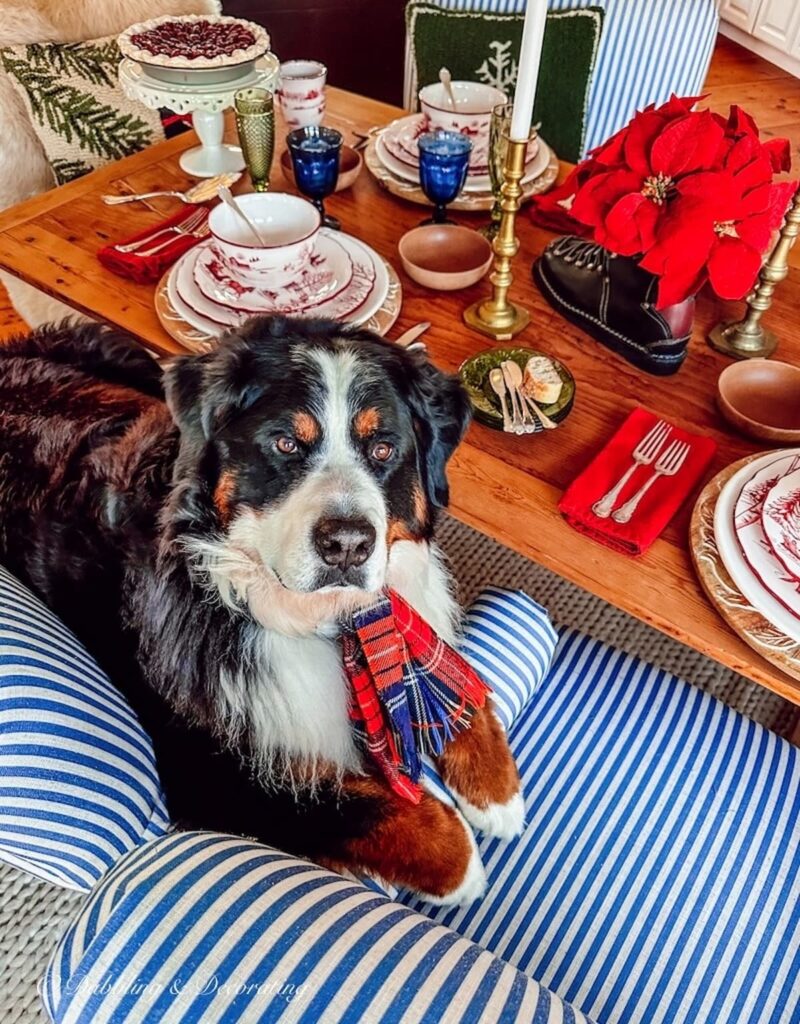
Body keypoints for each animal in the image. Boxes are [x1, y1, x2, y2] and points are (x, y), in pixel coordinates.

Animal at [0, 317, 524, 905]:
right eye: (286, 442)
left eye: (384, 449)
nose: (348, 544)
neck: (321, 618)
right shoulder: (211, 768)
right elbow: (356, 803)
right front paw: (464, 868)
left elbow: (452, 679)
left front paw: (496, 790)